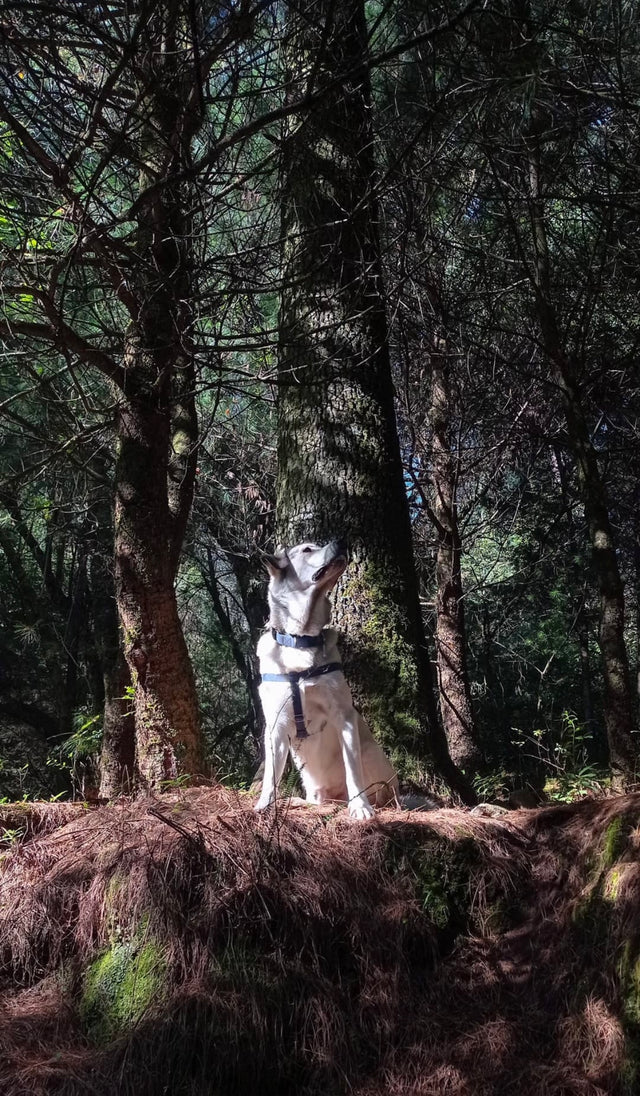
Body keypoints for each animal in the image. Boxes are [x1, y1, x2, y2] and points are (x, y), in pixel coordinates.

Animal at [252, 539, 396, 824]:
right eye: (307, 549)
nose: (341, 541)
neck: (299, 640)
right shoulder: (275, 725)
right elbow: (271, 775)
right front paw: (264, 805)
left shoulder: (344, 716)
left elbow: (353, 770)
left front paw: (360, 807)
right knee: (316, 799)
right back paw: (300, 802)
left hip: (372, 755)